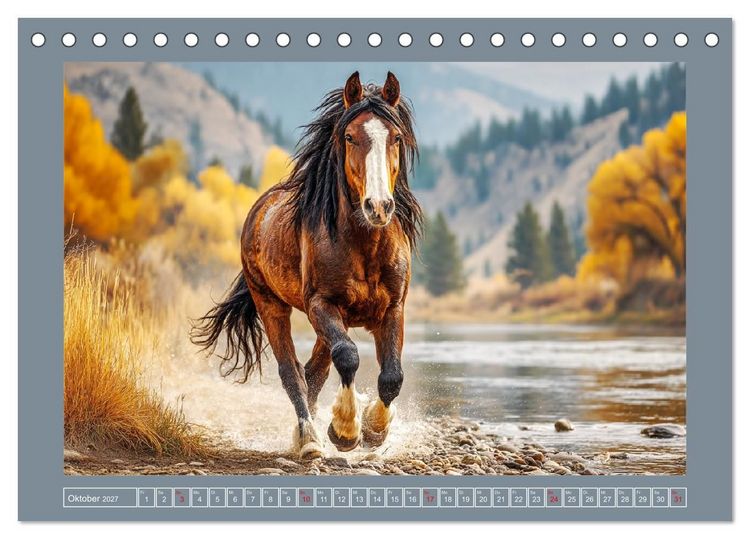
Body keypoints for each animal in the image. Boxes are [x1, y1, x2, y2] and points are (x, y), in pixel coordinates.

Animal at [191, 71, 422, 459]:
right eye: (349, 136)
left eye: (396, 137)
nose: (378, 207)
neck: (365, 246)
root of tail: (258, 211)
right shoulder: (321, 304)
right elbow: (348, 356)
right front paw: (344, 431)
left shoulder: (393, 308)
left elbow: (392, 376)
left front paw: (374, 430)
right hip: (272, 305)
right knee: (293, 372)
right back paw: (309, 439)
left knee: (315, 370)